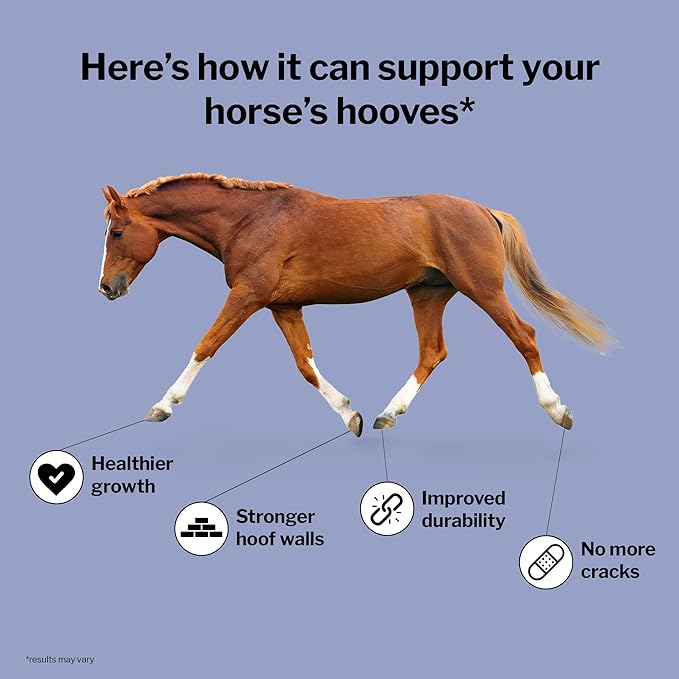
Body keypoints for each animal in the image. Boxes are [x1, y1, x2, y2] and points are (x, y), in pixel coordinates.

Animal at [99, 173, 607, 436]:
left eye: (117, 231)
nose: (106, 288)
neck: (250, 220)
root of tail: (485, 211)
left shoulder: (247, 296)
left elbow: (206, 345)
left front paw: (162, 406)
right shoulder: (282, 306)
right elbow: (305, 366)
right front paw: (352, 414)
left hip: (482, 290)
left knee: (525, 337)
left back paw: (558, 411)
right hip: (427, 293)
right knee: (432, 352)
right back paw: (386, 414)